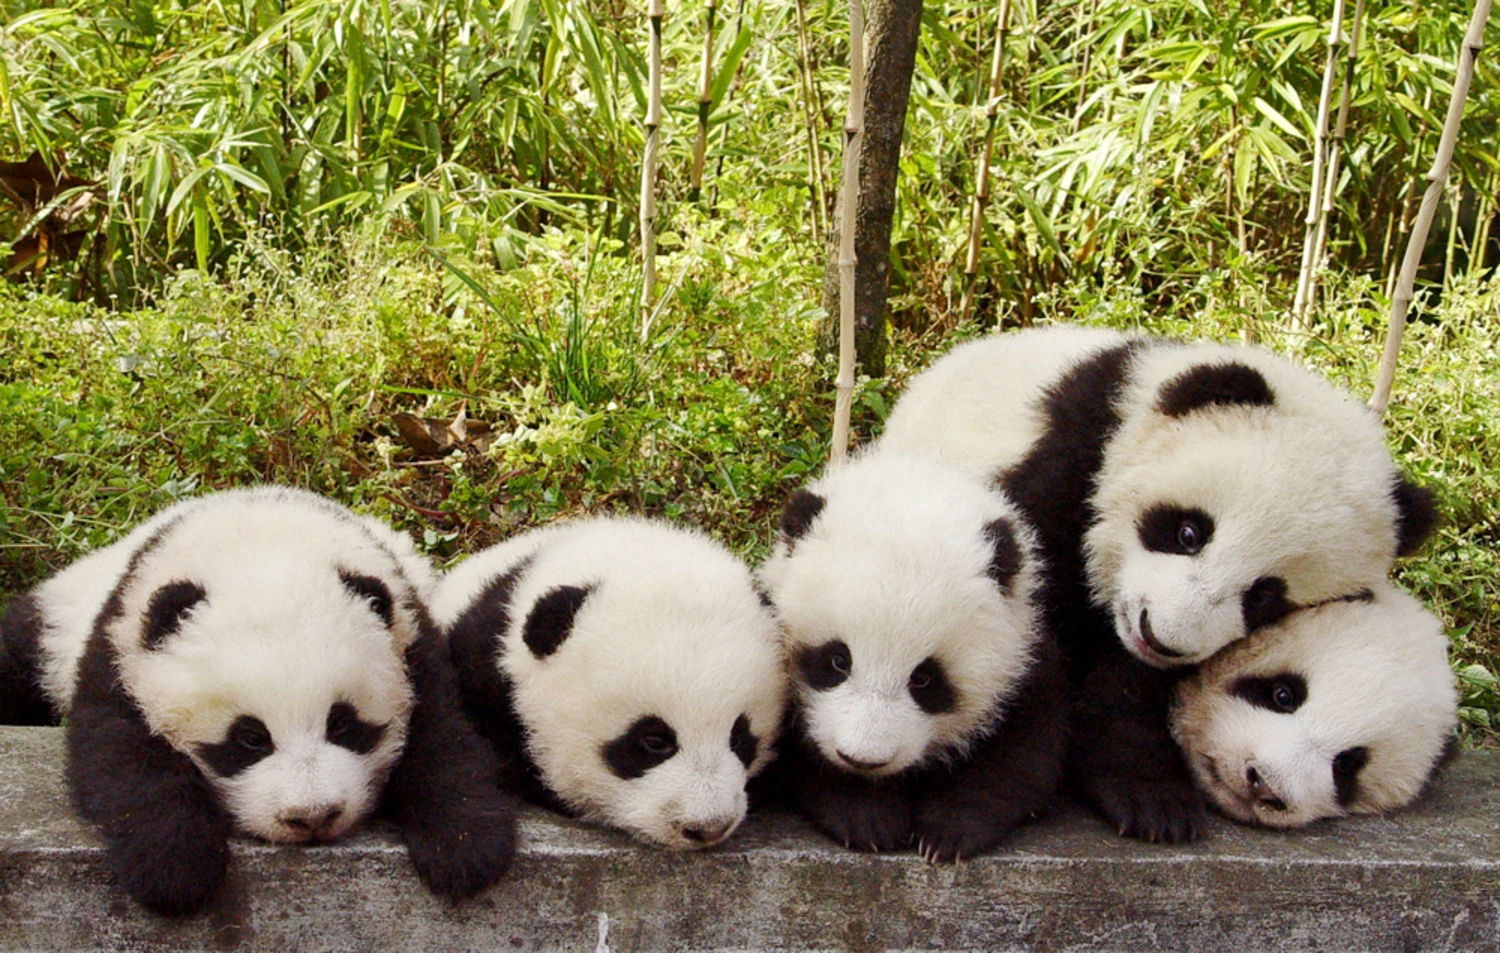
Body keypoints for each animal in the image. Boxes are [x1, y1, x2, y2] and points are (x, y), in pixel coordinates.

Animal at [0, 487, 515, 913]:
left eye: (342, 723)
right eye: (250, 738)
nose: (312, 817)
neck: (259, 534)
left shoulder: (410, 637)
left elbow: (445, 737)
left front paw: (465, 847)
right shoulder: (119, 648)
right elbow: (122, 759)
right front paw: (174, 867)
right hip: (56, 624)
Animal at [756, 452, 1066, 863]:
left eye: (924, 679)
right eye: (837, 660)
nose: (862, 759)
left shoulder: (1024, 661)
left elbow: (1023, 756)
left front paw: (947, 831)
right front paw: (868, 816)